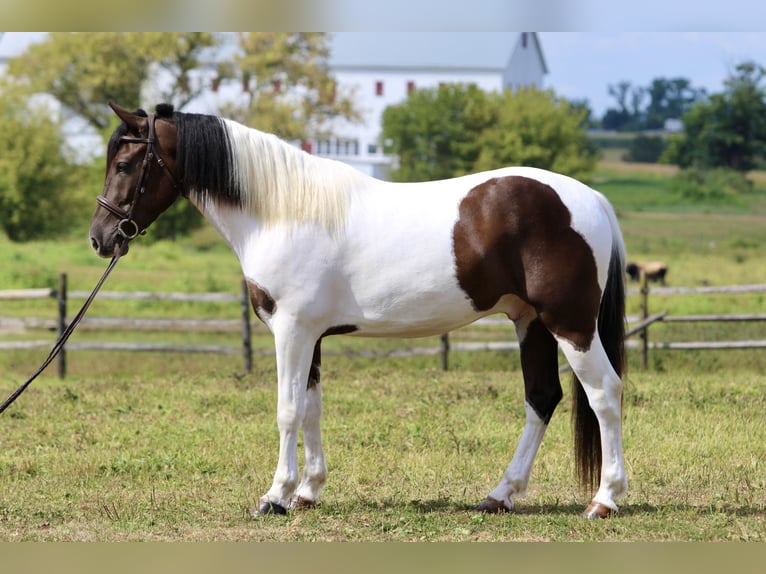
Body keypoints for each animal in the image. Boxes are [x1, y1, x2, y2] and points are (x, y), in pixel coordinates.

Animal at [89, 103, 628, 519]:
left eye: (125, 164)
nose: (101, 238)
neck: (281, 214)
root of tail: (591, 199)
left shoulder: (291, 331)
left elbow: (287, 410)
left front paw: (275, 497)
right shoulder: (311, 336)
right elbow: (311, 408)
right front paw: (307, 492)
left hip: (569, 324)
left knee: (604, 393)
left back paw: (604, 499)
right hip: (529, 321)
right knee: (541, 398)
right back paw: (500, 495)